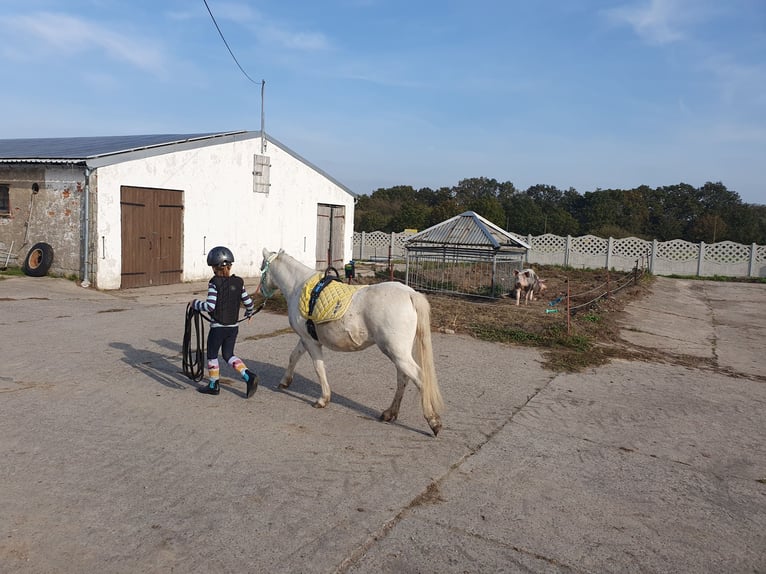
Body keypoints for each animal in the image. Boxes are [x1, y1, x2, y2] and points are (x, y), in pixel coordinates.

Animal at [258, 248, 444, 436]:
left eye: (261, 268)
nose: (261, 293)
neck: (298, 286)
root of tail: (410, 294)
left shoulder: (311, 342)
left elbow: (318, 367)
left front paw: (323, 399)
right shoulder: (306, 338)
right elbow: (293, 357)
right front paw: (285, 381)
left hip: (397, 352)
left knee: (420, 378)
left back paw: (433, 421)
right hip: (399, 353)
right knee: (403, 378)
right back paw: (390, 413)